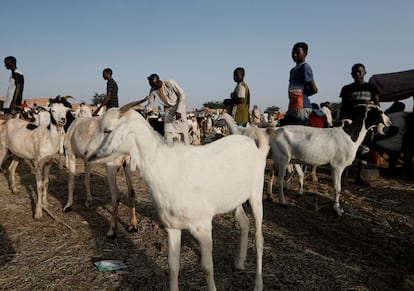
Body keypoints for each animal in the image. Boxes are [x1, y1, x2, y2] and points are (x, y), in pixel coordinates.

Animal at [63, 108, 137, 238]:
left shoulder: (71, 155)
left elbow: (71, 182)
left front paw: (68, 205)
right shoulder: (86, 159)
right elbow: (87, 179)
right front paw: (89, 201)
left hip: (111, 165)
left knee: (115, 197)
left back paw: (112, 230)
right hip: (127, 163)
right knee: (131, 192)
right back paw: (133, 225)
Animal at [86, 107, 268, 291]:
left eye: (107, 130)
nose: (87, 153)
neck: (166, 168)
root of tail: (255, 146)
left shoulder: (203, 227)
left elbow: (207, 267)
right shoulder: (172, 227)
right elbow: (173, 267)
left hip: (256, 195)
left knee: (259, 238)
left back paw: (258, 284)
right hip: (234, 199)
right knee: (244, 222)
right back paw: (239, 263)